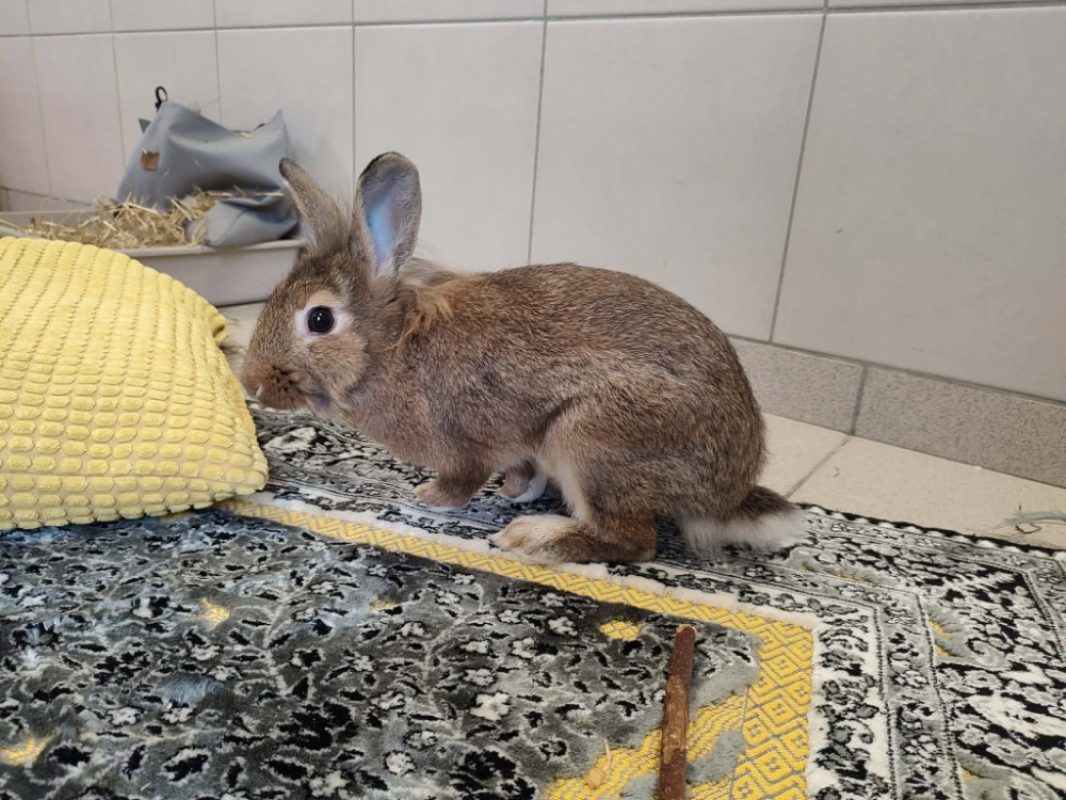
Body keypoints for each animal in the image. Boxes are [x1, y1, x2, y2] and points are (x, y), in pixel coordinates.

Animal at [240, 152, 803, 564]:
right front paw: (517, 490)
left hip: (593, 441)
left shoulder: (464, 444)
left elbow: (460, 481)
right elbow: (520, 467)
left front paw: (424, 498)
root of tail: (726, 493)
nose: (250, 383)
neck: (390, 350)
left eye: (319, 320)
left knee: (632, 541)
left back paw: (533, 538)